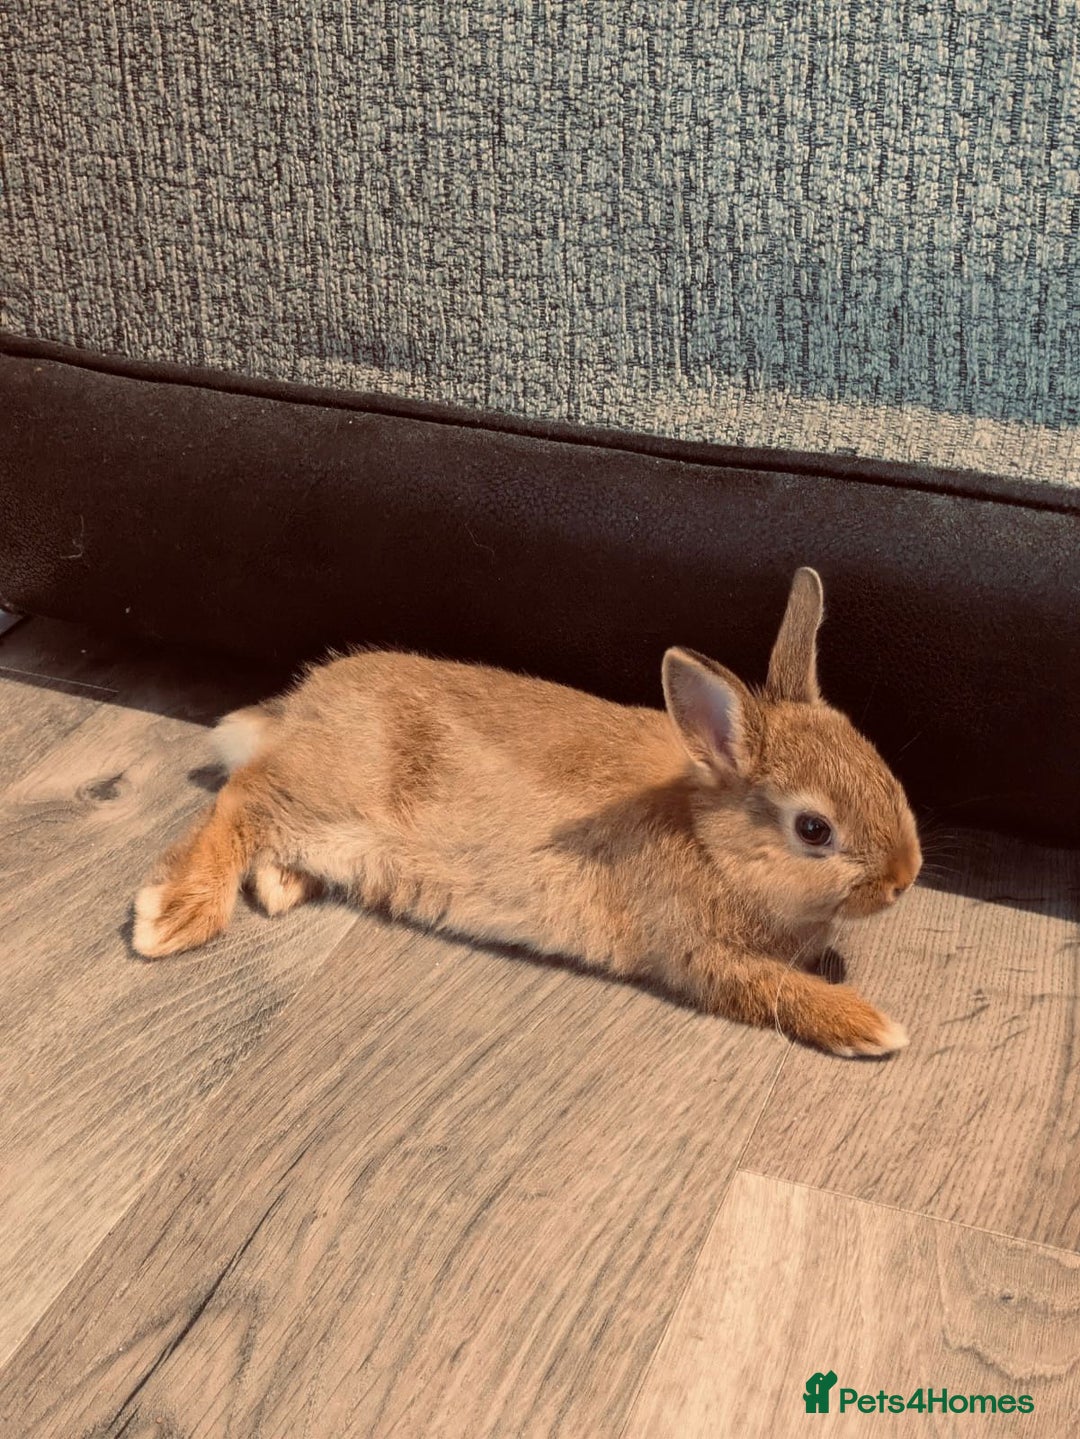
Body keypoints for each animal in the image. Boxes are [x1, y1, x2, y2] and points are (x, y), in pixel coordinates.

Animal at [132, 567, 921, 1056]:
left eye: (884, 770)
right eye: (814, 829)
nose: (905, 878)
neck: (710, 840)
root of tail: (299, 711)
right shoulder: (700, 955)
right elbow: (775, 989)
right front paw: (871, 1027)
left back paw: (280, 884)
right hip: (324, 790)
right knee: (242, 801)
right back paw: (174, 913)